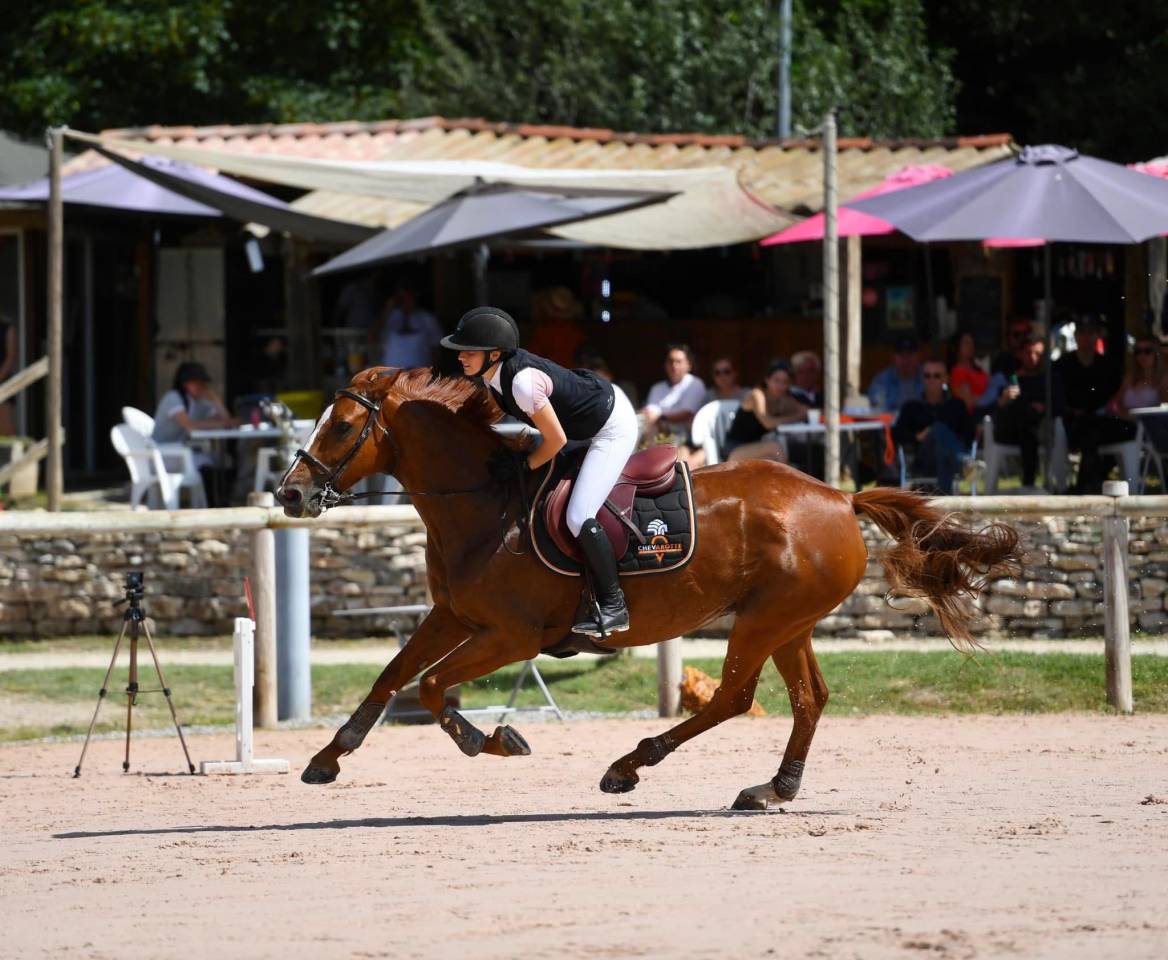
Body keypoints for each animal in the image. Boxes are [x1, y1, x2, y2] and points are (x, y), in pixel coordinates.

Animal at [276, 367, 1021, 810]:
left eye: (342, 425)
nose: (290, 495)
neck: (485, 503)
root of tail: (840, 496)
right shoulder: (453, 616)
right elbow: (391, 676)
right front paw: (327, 758)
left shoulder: (511, 635)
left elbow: (431, 686)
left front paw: (491, 740)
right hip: (788, 621)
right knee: (808, 698)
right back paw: (772, 789)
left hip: (763, 620)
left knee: (733, 697)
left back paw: (631, 764)